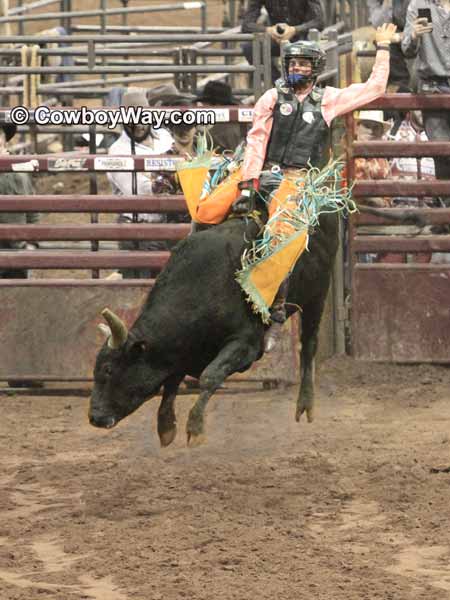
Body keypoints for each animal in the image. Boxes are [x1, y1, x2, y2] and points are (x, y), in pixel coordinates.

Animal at [89, 206, 422, 446]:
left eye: (109, 370)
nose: (94, 417)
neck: (198, 286)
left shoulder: (246, 346)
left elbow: (209, 377)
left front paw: (194, 428)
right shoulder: (182, 351)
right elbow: (171, 381)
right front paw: (166, 425)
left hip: (318, 292)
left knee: (309, 344)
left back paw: (305, 402)